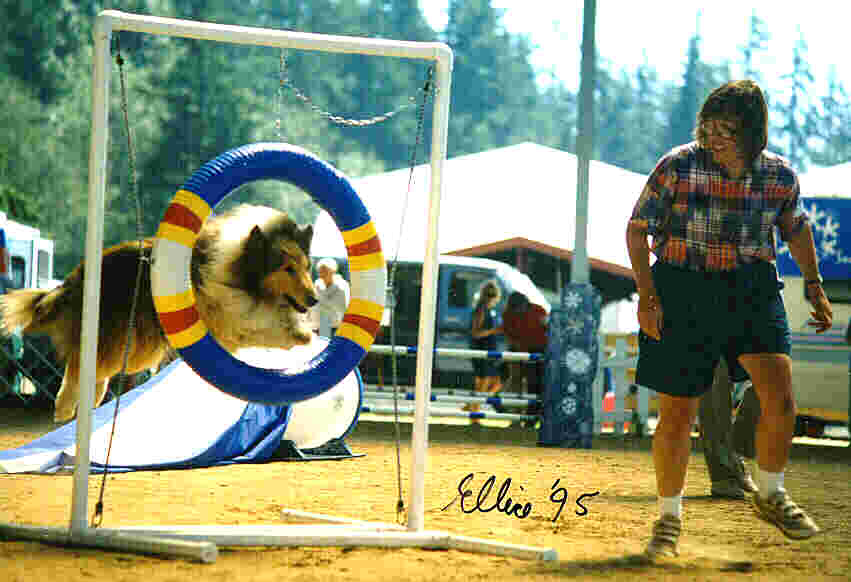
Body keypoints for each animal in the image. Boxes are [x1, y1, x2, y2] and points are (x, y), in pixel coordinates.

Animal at [0, 206, 320, 424]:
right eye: (288, 269)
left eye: (307, 267)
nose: (315, 299)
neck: (241, 269)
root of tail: (77, 276)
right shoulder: (229, 312)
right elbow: (263, 321)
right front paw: (301, 333)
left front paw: (303, 334)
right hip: (117, 340)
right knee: (76, 369)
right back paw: (64, 408)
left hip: (125, 349)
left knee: (92, 375)